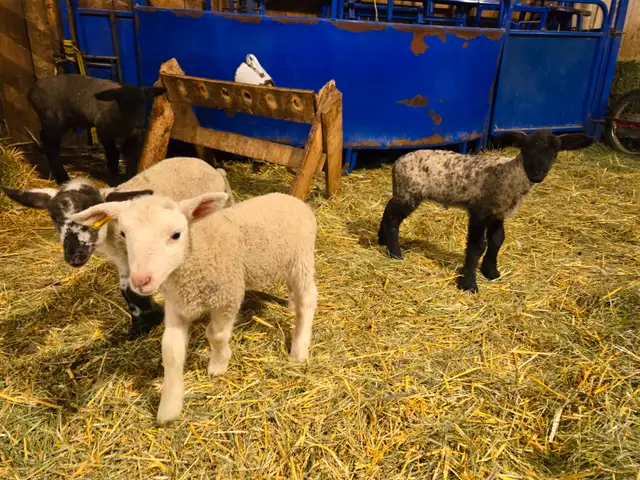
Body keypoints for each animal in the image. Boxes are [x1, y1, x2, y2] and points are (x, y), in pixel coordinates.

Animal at [2, 157, 235, 337]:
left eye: (94, 213)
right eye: (53, 216)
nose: (74, 255)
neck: (113, 236)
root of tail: (210, 167)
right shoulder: (124, 260)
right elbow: (127, 290)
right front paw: (141, 322)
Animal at [28, 74, 166, 186]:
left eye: (144, 101)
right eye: (122, 102)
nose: (140, 121)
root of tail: (32, 91)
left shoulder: (135, 136)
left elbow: (133, 155)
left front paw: (130, 177)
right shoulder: (104, 130)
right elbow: (113, 154)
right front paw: (114, 179)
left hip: (66, 120)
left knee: (45, 138)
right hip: (53, 117)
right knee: (50, 144)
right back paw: (63, 178)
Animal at [71, 192, 318, 424]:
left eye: (176, 235)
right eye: (124, 234)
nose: (140, 280)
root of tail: (290, 198)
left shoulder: (227, 296)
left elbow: (216, 335)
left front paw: (219, 363)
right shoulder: (176, 305)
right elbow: (170, 351)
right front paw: (169, 407)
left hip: (301, 261)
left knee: (308, 298)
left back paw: (299, 349)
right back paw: (291, 304)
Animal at [377, 130, 595, 293]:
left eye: (555, 153)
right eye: (527, 149)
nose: (537, 174)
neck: (509, 176)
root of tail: (397, 162)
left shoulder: (498, 214)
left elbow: (497, 240)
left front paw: (491, 271)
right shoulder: (479, 211)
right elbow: (477, 246)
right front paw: (469, 283)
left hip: (402, 192)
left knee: (388, 209)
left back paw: (382, 240)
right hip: (410, 193)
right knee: (393, 219)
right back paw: (395, 253)